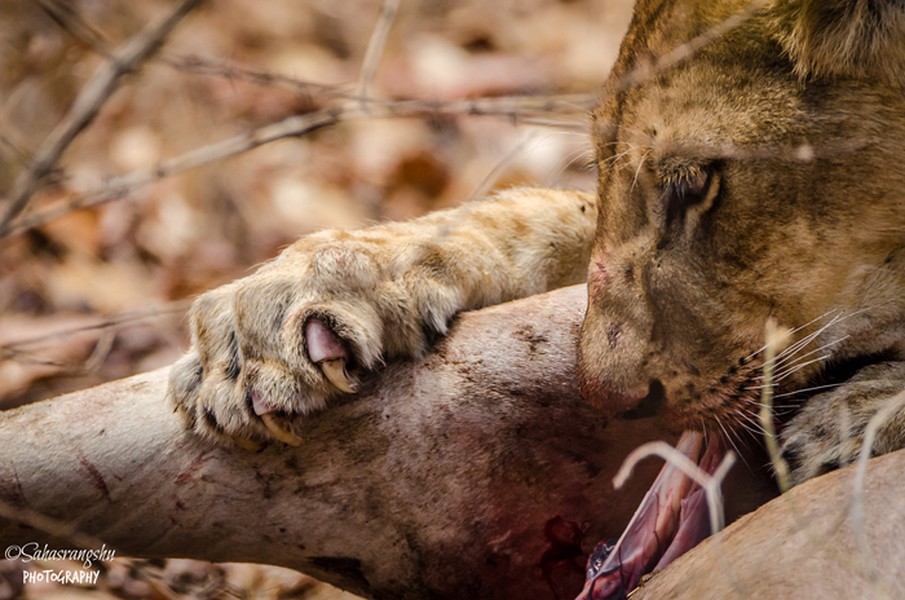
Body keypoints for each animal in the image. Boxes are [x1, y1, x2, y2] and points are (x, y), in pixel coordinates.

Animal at [166, 0, 904, 596]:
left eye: (694, 184)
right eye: (601, 161)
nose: (607, 396)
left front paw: (857, 417)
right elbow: (545, 214)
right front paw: (274, 312)